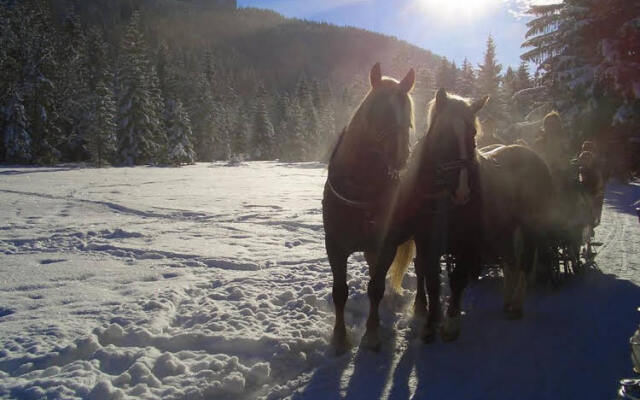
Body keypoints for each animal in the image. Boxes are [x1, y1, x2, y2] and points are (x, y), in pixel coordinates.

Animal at [322, 62, 418, 354]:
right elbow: (339, 291)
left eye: (408, 114)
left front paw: (372, 335)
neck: (360, 190)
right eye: (377, 109)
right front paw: (339, 338)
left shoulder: (384, 245)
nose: (400, 157)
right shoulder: (335, 246)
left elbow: (375, 288)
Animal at [390, 89, 556, 342]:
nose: (462, 191)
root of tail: (535, 157)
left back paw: (517, 305)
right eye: (442, 135)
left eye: (473, 133)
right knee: (510, 261)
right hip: (505, 229)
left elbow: (458, 279)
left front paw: (450, 325)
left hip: (530, 227)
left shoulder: (468, 244)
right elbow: (431, 279)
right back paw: (508, 301)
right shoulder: (428, 242)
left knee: (525, 262)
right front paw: (429, 324)